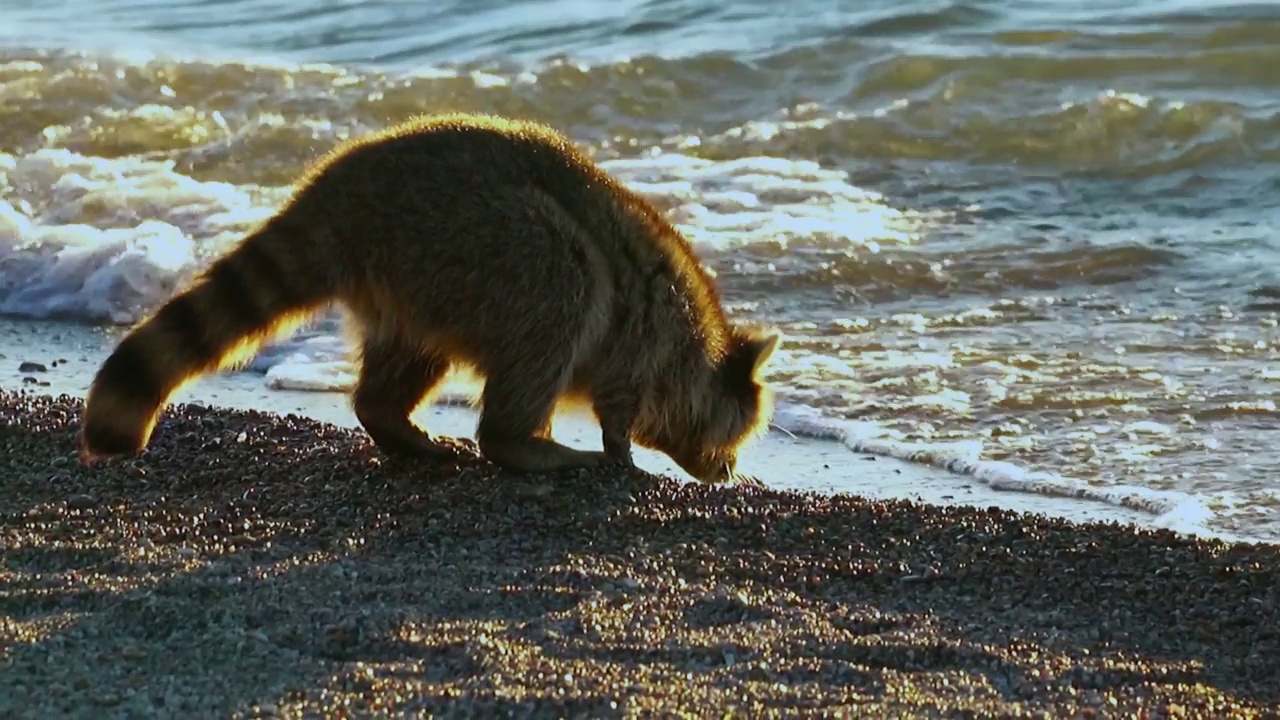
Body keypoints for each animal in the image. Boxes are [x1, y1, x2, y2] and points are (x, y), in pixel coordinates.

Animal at [82, 112, 778, 481]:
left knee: (407, 359)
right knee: (562, 293)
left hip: (417, 276)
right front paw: (619, 447)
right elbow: (615, 401)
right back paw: (519, 440)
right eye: (738, 433)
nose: (729, 474)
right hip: (483, 240)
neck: (699, 348)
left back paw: (391, 418)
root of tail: (336, 198)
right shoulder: (644, 340)